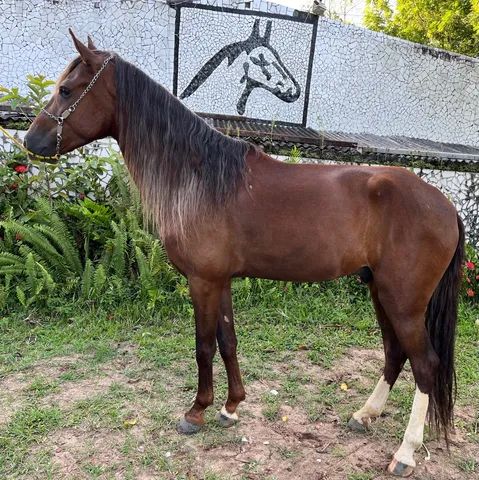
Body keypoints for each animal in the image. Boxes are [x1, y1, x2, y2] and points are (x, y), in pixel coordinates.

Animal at [25, 31, 464, 478]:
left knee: (425, 365)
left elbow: (203, 345)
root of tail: (445, 206)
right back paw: (364, 415)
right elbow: (228, 341)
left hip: (403, 301)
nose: (30, 141)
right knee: (395, 354)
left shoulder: (202, 281)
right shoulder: (220, 281)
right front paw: (231, 407)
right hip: (380, 292)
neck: (200, 177)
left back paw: (406, 452)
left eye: (66, 90)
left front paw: (196, 411)